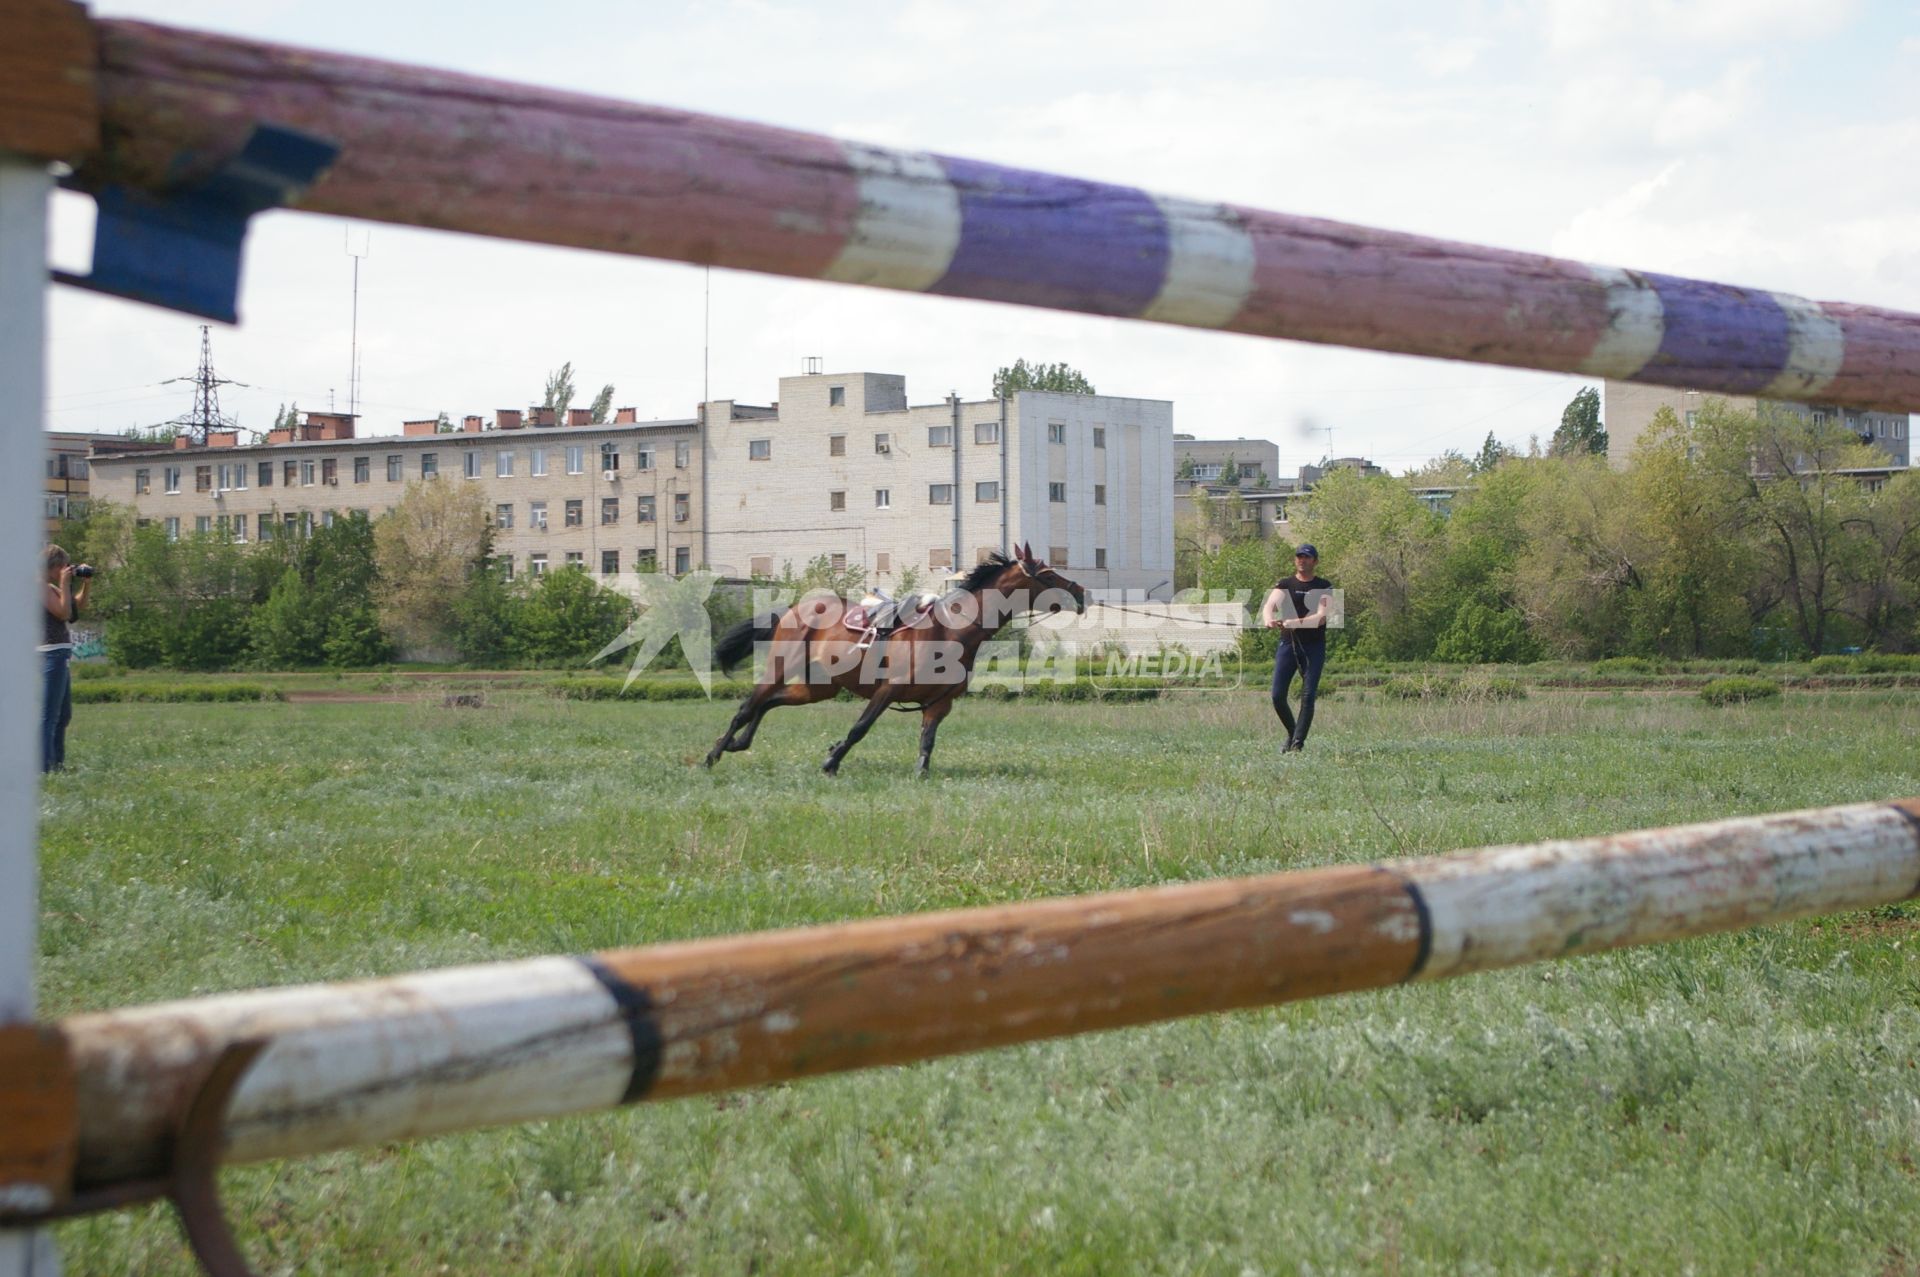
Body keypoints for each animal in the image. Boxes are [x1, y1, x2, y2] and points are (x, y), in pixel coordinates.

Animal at [706, 541, 1090, 771]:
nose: (1082, 591)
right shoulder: (887, 690)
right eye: (1049, 574)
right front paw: (832, 761)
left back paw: (738, 744)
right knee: (747, 707)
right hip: (780, 668)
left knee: (769, 704)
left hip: (819, 687)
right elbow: (860, 728)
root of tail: (792, 609)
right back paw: (714, 754)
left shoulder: (940, 704)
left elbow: (927, 744)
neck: (950, 631)